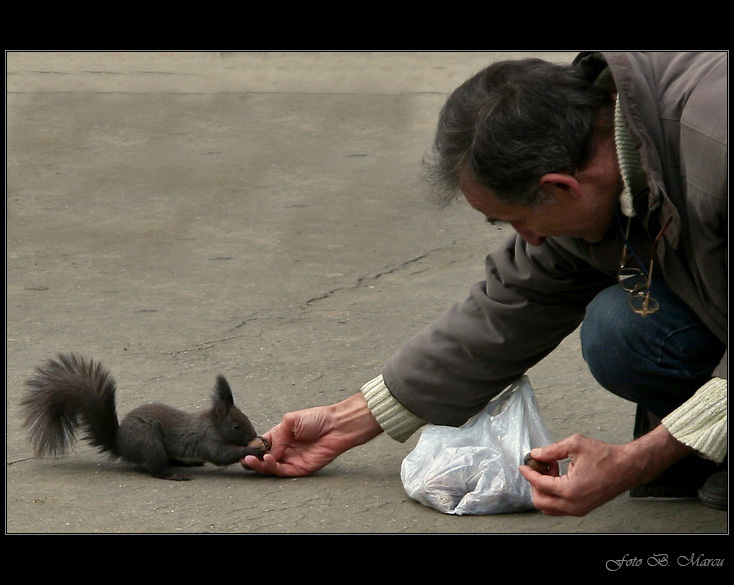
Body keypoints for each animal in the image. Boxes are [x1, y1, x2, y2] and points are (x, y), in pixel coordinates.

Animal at [21, 352, 272, 480]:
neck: (211, 424)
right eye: (237, 426)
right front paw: (253, 449)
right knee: (155, 470)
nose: (254, 434)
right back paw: (174, 474)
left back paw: (185, 462)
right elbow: (221, 455)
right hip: (149, 441)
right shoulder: (206, 439)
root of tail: (121, 444)